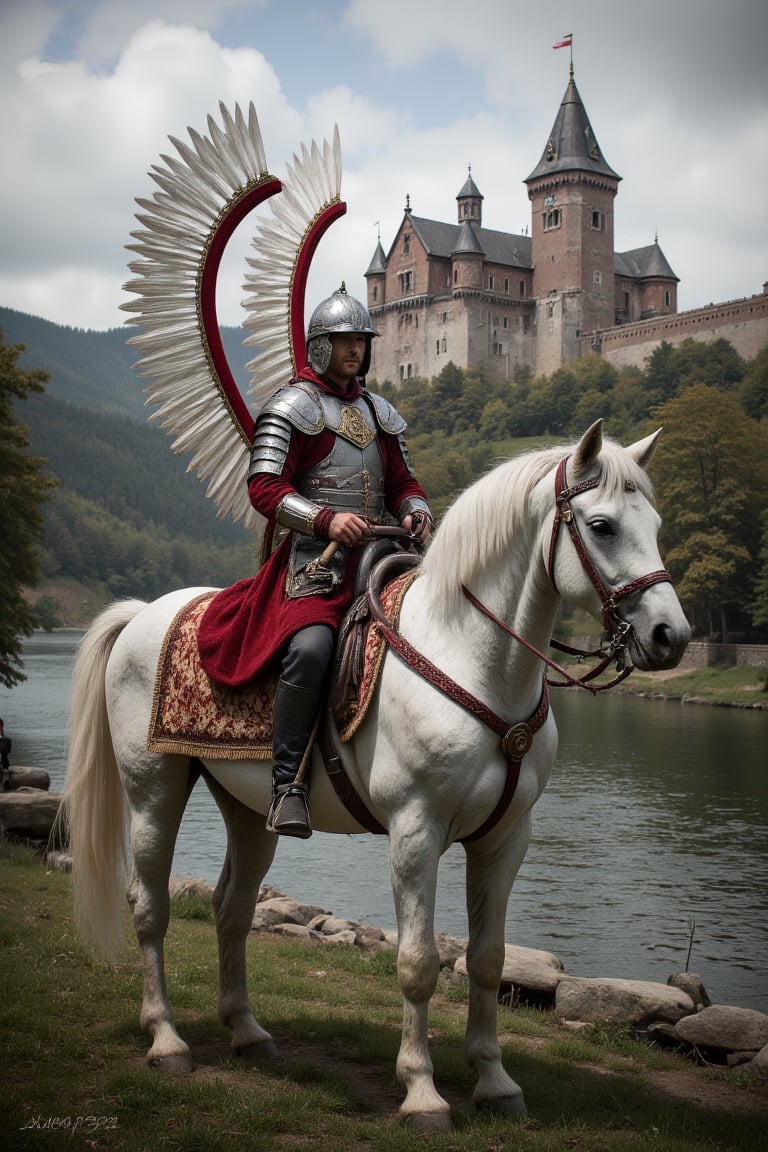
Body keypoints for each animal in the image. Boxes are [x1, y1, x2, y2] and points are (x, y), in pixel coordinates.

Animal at [60, 419, 690, 1128]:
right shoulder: (416, 831)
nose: (670, 636)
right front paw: (421, 1092)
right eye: (602, 526)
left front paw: (495, 1082)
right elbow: (418, 962)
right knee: (150, 907)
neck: (472, 657)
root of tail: (144, 613)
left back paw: (247, 1032)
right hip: (154, 790)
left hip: (248, 811)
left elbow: (487, 961)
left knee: (232, 909)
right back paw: (166, 1038)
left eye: (655, 522)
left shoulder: (506, 839)